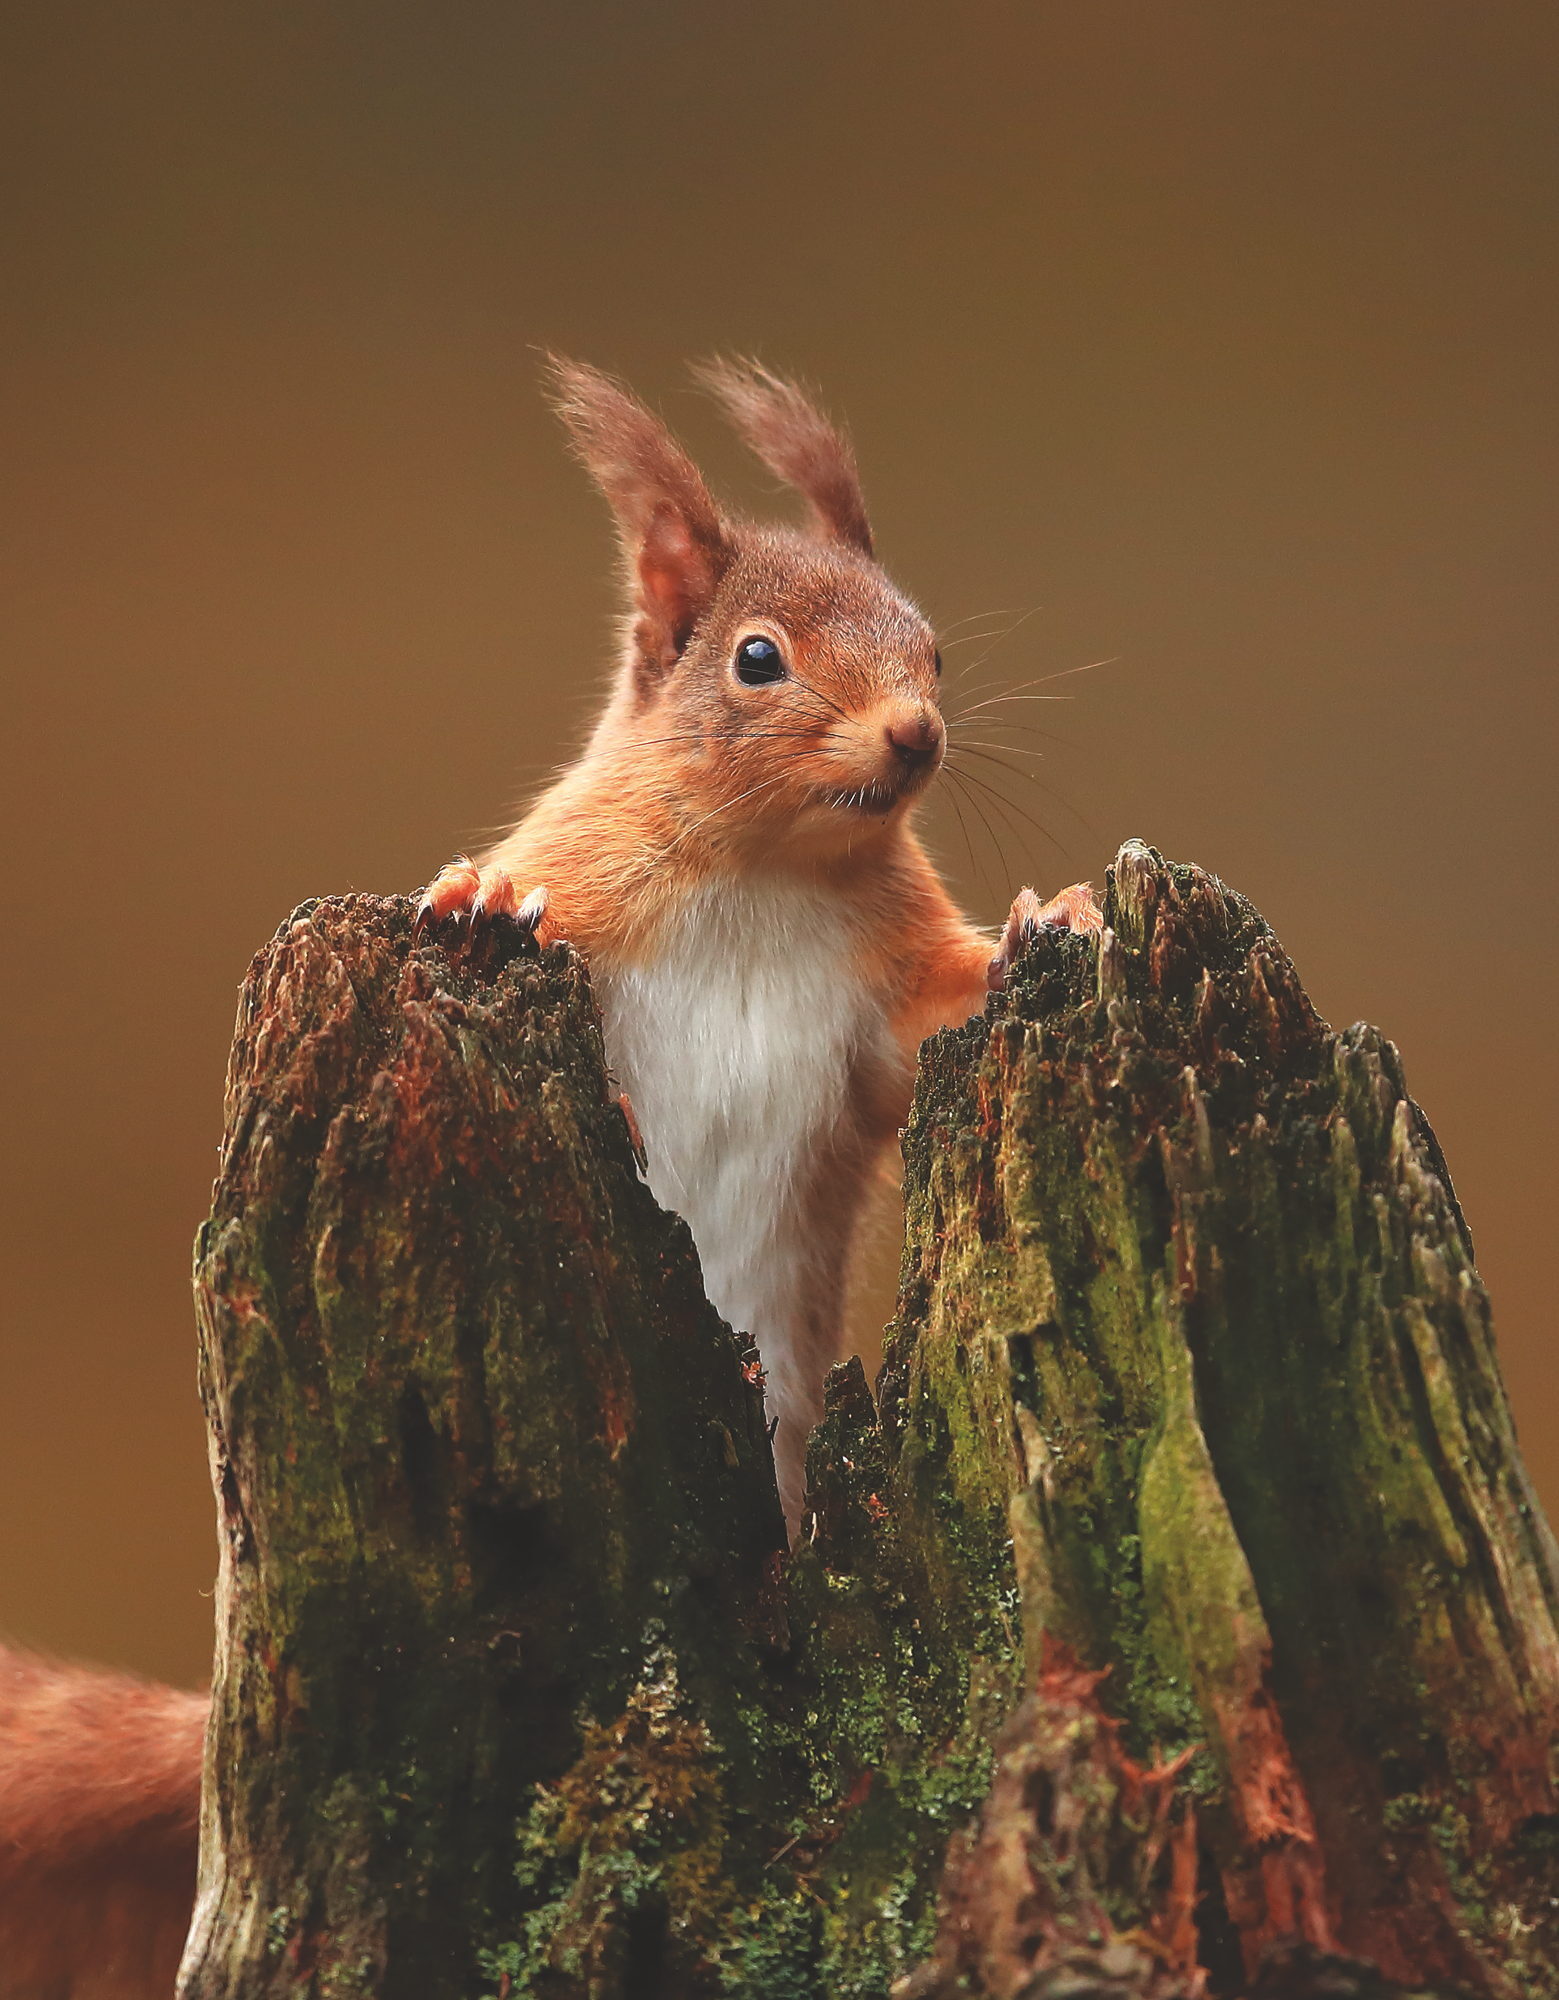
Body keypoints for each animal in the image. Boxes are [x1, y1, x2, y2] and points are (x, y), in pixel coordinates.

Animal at [0, 359, 1099, 1997]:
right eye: (756, 659)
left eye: (934, 648)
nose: (913, 735)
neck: (763, 871)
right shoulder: (598, 883)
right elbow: (537, 907)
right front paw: (479, 891)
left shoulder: (888, 987)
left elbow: (941, 1019)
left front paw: (1058, 911)